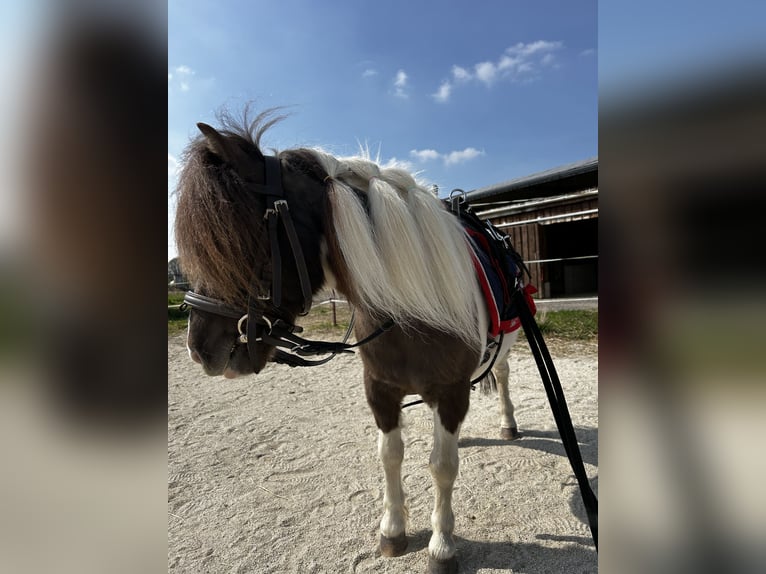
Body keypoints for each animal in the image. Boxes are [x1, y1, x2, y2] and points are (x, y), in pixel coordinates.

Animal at [174, 110, 523, 573]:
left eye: (234, 242)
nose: (198, 348)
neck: (409, 307)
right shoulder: (380, 390)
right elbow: (390, 454)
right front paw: (393, 531)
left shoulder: (449, 392)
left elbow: (442, 467)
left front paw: (441, 546)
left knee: (502, 373)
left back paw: (508, 424)